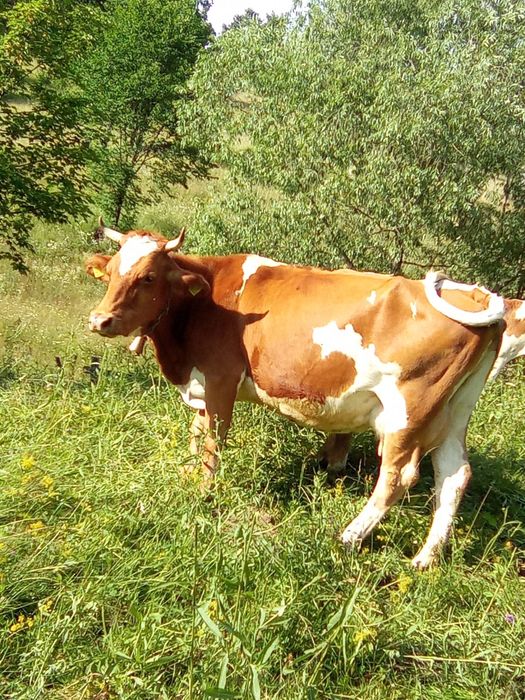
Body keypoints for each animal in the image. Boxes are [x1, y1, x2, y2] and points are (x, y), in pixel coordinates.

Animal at [86, 221, 505, 569]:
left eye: (148, 277)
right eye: (111, 272)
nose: (99, 320)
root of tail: (474, 297)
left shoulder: (221, 380)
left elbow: (212, 442)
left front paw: (204, 493)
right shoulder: (202, 385)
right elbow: (195, 432)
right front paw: (188, 475)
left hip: (410, 409)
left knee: (397, 476)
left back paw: (349, 537)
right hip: (455, 410)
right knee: (453, 475)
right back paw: (425, 559)